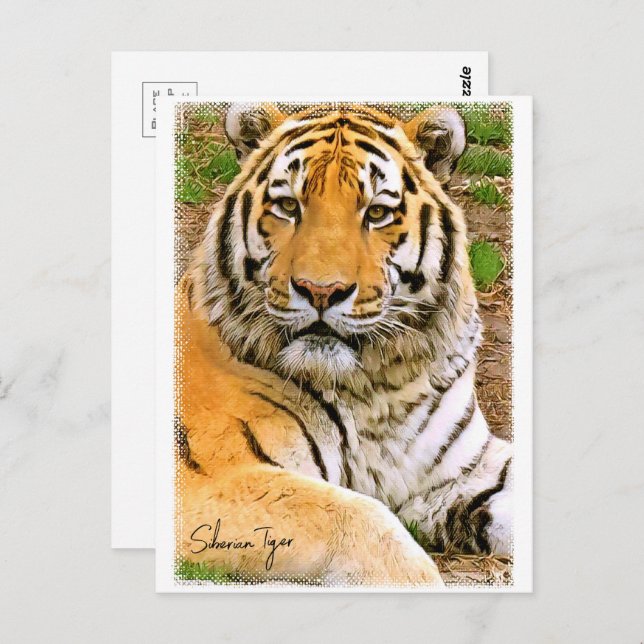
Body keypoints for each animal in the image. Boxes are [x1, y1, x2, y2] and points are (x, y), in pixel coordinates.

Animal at [175, 102, 512, 587]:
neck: (377, 386)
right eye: (288, 206)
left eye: (377, 213)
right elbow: (358, 518)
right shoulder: (207, 480)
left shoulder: (470, 471)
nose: (320, 291)